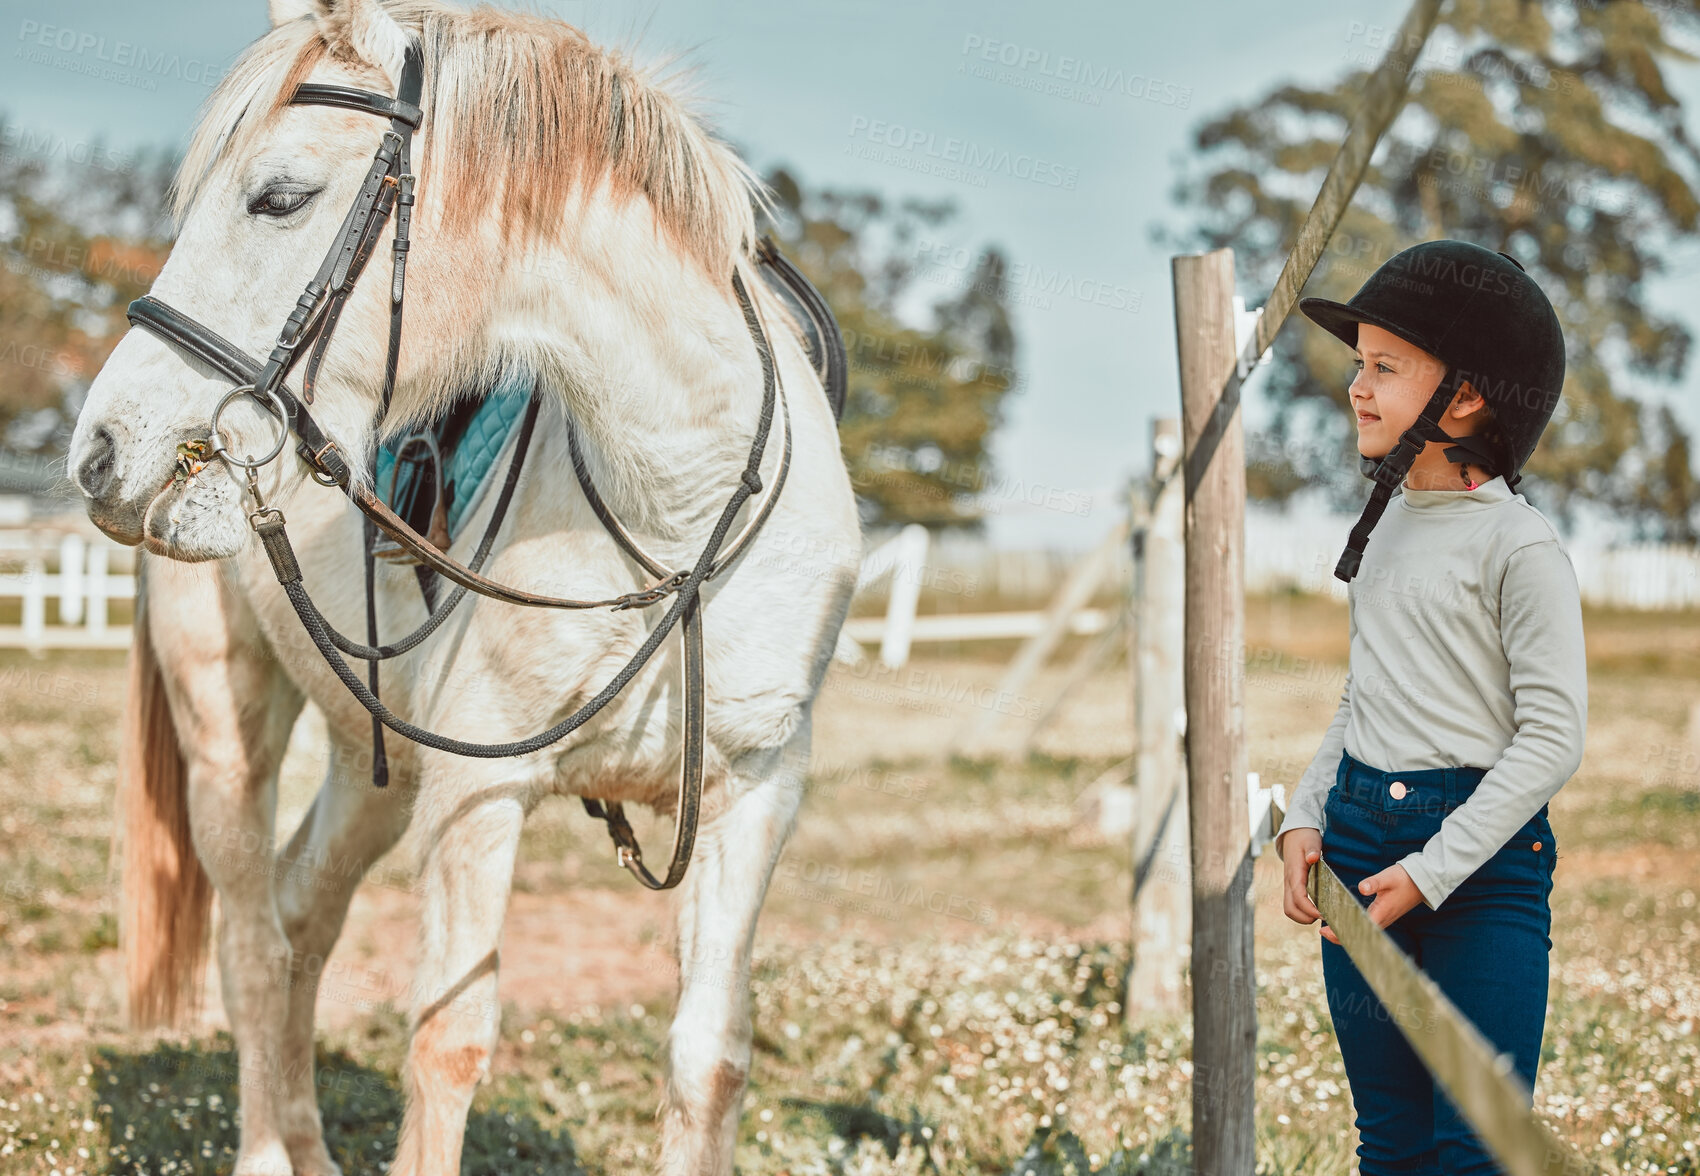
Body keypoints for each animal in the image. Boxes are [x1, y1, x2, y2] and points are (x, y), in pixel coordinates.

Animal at [71, 2, 856, 1176]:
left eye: (279, 197)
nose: (103, 451)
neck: (677, 515)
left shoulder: (755, 797)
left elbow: (708, 1058)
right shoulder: (476, 801)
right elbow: (448, 1047)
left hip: (375, 767)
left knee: (300, 917)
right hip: (227, 726)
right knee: (253, 945)